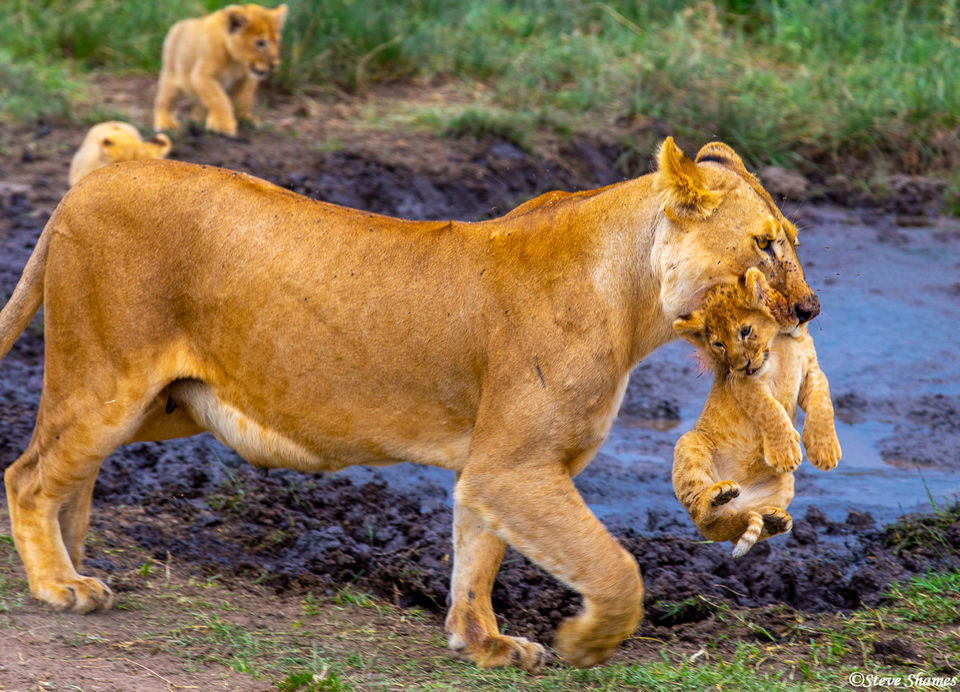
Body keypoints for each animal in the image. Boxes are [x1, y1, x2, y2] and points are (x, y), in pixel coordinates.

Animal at [0, 138, 819, 671]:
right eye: (766, 244)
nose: (809, 310)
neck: (633, 297)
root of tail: (82, 189)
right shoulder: (514, 464)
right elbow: (614, 567)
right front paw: (584, 642)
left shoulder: (494, 468)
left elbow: (477, 554)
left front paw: (483, 642)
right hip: (107, 380)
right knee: (29, 473)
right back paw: (60, 585)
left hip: (162, 405)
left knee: (71, 471)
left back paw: (75, 560)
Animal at [153, 3, 288, 137]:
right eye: (260, 43)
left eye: (277, 41)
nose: (275, 64)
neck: (236, 62)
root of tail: (179, 24)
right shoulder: (202, 76)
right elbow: (219, 99)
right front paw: (222, 125)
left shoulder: (247, 79)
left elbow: (244, 99)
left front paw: (246, 119)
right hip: (171, 76)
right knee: (164, 102)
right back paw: (166, 123)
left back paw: (197, 120)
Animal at [672, 268, 841, 557]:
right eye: (718, 344)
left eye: (745, 331)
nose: (741, 365)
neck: (780, 341)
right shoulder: (743, 383)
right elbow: (769, 409)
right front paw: (785, 452)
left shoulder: (811, 371)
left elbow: (823, 403)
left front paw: (825, 450)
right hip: (690, 444)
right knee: (701, 513)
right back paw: (718, 495)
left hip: (783, 486)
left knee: (736, 528)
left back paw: (773, 520)